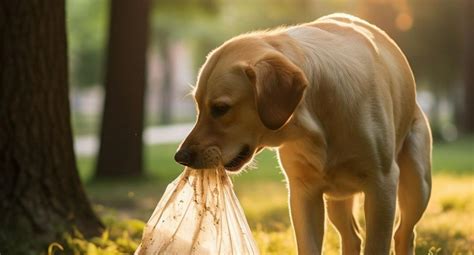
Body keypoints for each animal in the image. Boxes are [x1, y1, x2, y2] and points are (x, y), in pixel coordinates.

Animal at [175, 13, 434, 255]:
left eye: (221, 108)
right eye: (198, 105)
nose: (180, 157)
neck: (316, 123)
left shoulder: (382, 186)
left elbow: (377, 244)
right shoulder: (303, 193)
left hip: (417, 185)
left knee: (403, 233)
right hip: (336, 200)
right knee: (352, 236)